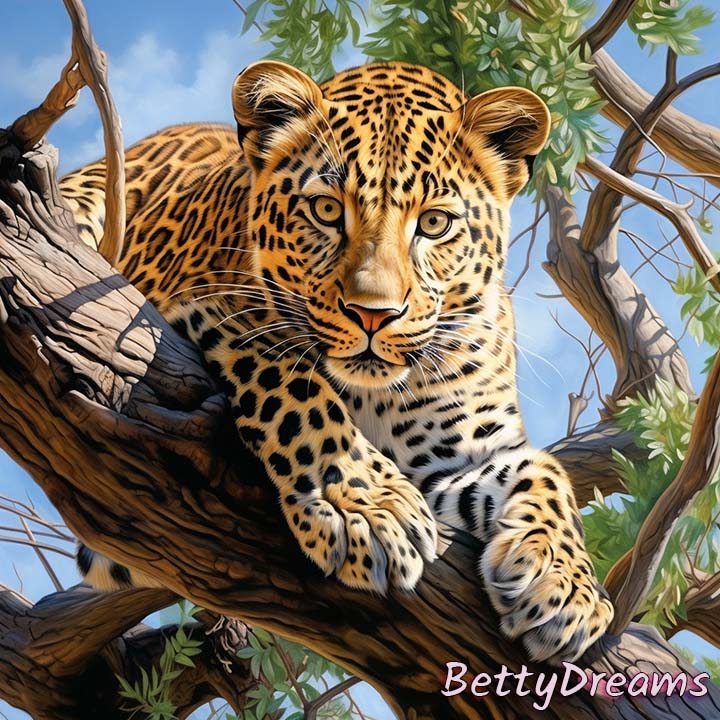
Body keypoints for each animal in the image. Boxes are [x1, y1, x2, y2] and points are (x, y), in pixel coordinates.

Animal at [60, 60, 613, 663]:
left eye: (435, 223)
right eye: (326, 210)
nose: (374, 313)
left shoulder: (459, 455)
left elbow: (543, 471)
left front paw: (567, 584)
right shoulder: (190, 311)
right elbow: (297, 387)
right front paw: (368, 509)